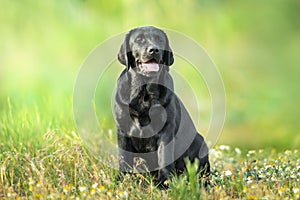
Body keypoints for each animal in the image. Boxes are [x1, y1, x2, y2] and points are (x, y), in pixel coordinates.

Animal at [113, 25, 210, 188]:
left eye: (159, 39)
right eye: (139, 39)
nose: (154, 50)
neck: (144, 93)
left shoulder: (166, 130)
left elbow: (164, 158)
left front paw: (164, 183)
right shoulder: (123, 130)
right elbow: (123, 158)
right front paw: (122, 180)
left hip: (199, 141)